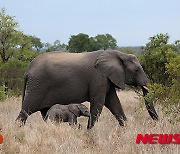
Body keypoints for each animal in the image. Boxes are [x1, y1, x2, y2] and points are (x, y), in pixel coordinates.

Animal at [16, 50, 158, 129]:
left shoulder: (106, 79)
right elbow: (98, 103)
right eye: (137, 70)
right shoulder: (98, 78)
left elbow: (114, 103)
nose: (157, 123)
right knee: (26, 111)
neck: (118, 54)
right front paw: (89, 132)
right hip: (37, 86)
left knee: (45, 114)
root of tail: (27, 71)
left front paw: (126, 130)